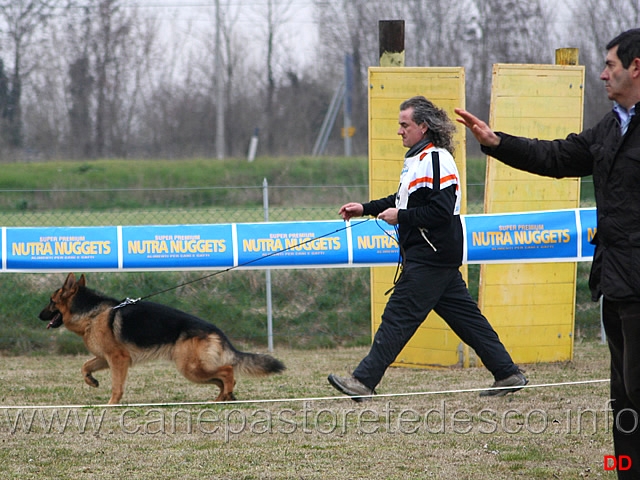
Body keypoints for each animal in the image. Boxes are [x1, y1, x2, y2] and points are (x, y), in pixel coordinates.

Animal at [37, 272, 282, 404]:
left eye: (51, 301)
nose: (38, 315)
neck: (92, 313)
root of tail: (216, 330)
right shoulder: (105, 358)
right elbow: (85, 366)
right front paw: (91, 380)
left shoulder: (118, 359)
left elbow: (116, 386)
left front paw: (111, 404)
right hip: (194, 370)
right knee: (223, 377)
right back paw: (223, 398)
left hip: (190, 368)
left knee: (228, 371)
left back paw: (226, 395)